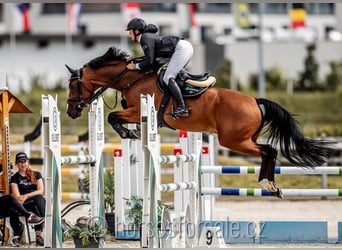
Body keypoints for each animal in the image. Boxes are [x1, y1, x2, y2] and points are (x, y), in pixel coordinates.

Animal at [65, 46, 332, 198]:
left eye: (73, 85)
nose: (71, 111)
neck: (131, 78)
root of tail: (255, 101)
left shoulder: (136, 110)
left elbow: (113, 116)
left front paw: (127, 133)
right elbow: (116, 117)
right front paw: (131, 133)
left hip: (234, 140)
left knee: (269, 150)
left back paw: (267, 184)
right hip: (245, 138)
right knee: (269, 151)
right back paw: (271, 186)